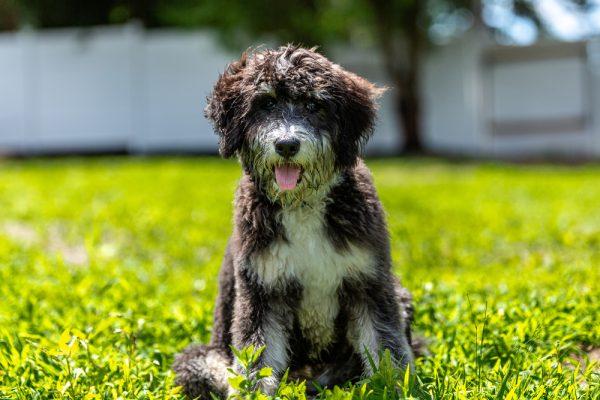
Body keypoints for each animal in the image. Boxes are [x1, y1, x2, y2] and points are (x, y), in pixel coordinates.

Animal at [172, 46, 418, 396]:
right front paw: (252, 393)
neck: (301, 205)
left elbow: (384, 342)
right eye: (266, 103)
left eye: (314, 105)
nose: (286, 145)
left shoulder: (369, 280)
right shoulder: (262, 288)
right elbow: (256, 352)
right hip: (199, 359)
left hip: (400, 295)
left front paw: (392, 387)